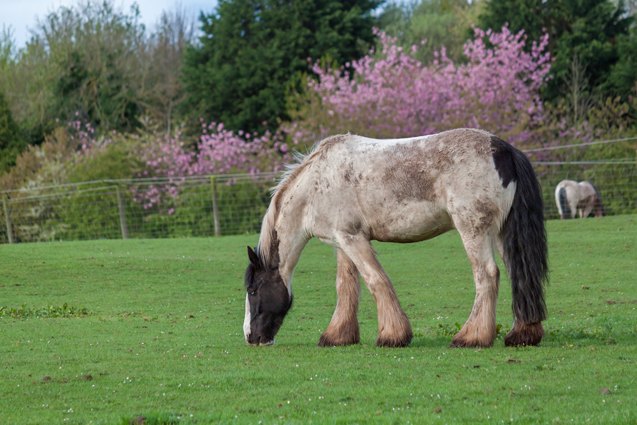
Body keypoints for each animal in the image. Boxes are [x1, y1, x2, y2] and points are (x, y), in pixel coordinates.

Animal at [243, 128, 548, 348]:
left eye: (253, 290)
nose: (250, 337)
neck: (316, 184)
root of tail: (504, 149)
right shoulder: (343, 242)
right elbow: (346, 287)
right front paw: (337, 336)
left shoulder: (352, 238)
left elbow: (376, 281)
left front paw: (392, 336)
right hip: (501, 233)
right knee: (518, 275)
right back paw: (522, 335)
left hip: (473, 230)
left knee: (487, 275)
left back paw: (471, 337)